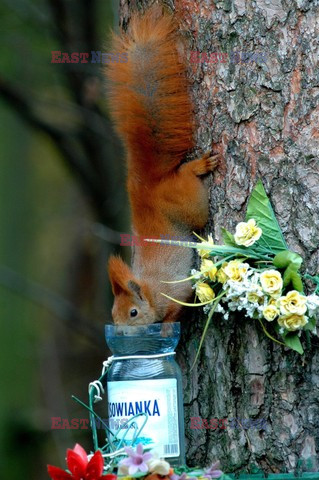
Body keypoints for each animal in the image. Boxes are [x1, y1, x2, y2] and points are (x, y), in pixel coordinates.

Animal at [106, 5, 219, 324]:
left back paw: (197, 166)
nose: (120, 331)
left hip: (190, 205)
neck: (148, 286)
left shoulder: (174, 292)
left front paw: (168, 328)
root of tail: (149, 185)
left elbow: (176, 309)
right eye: (113, 315)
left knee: (188, 182)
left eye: (133, 313)